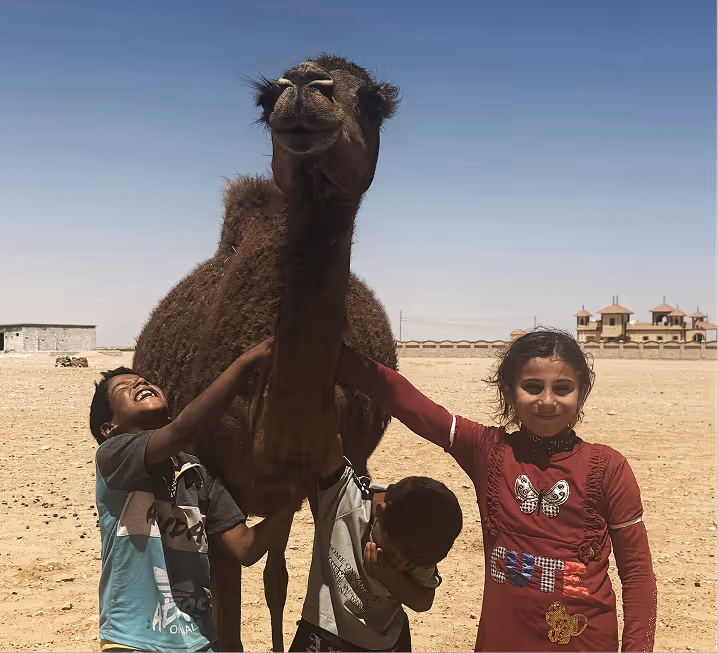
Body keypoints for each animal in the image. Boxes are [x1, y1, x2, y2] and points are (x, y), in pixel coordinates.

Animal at [133, 54, 400, 651]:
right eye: (264, 98)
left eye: (373, 100)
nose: (302, 85)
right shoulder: (217, 487)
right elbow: (227, 620)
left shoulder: (328, 478)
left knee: (276, 576)